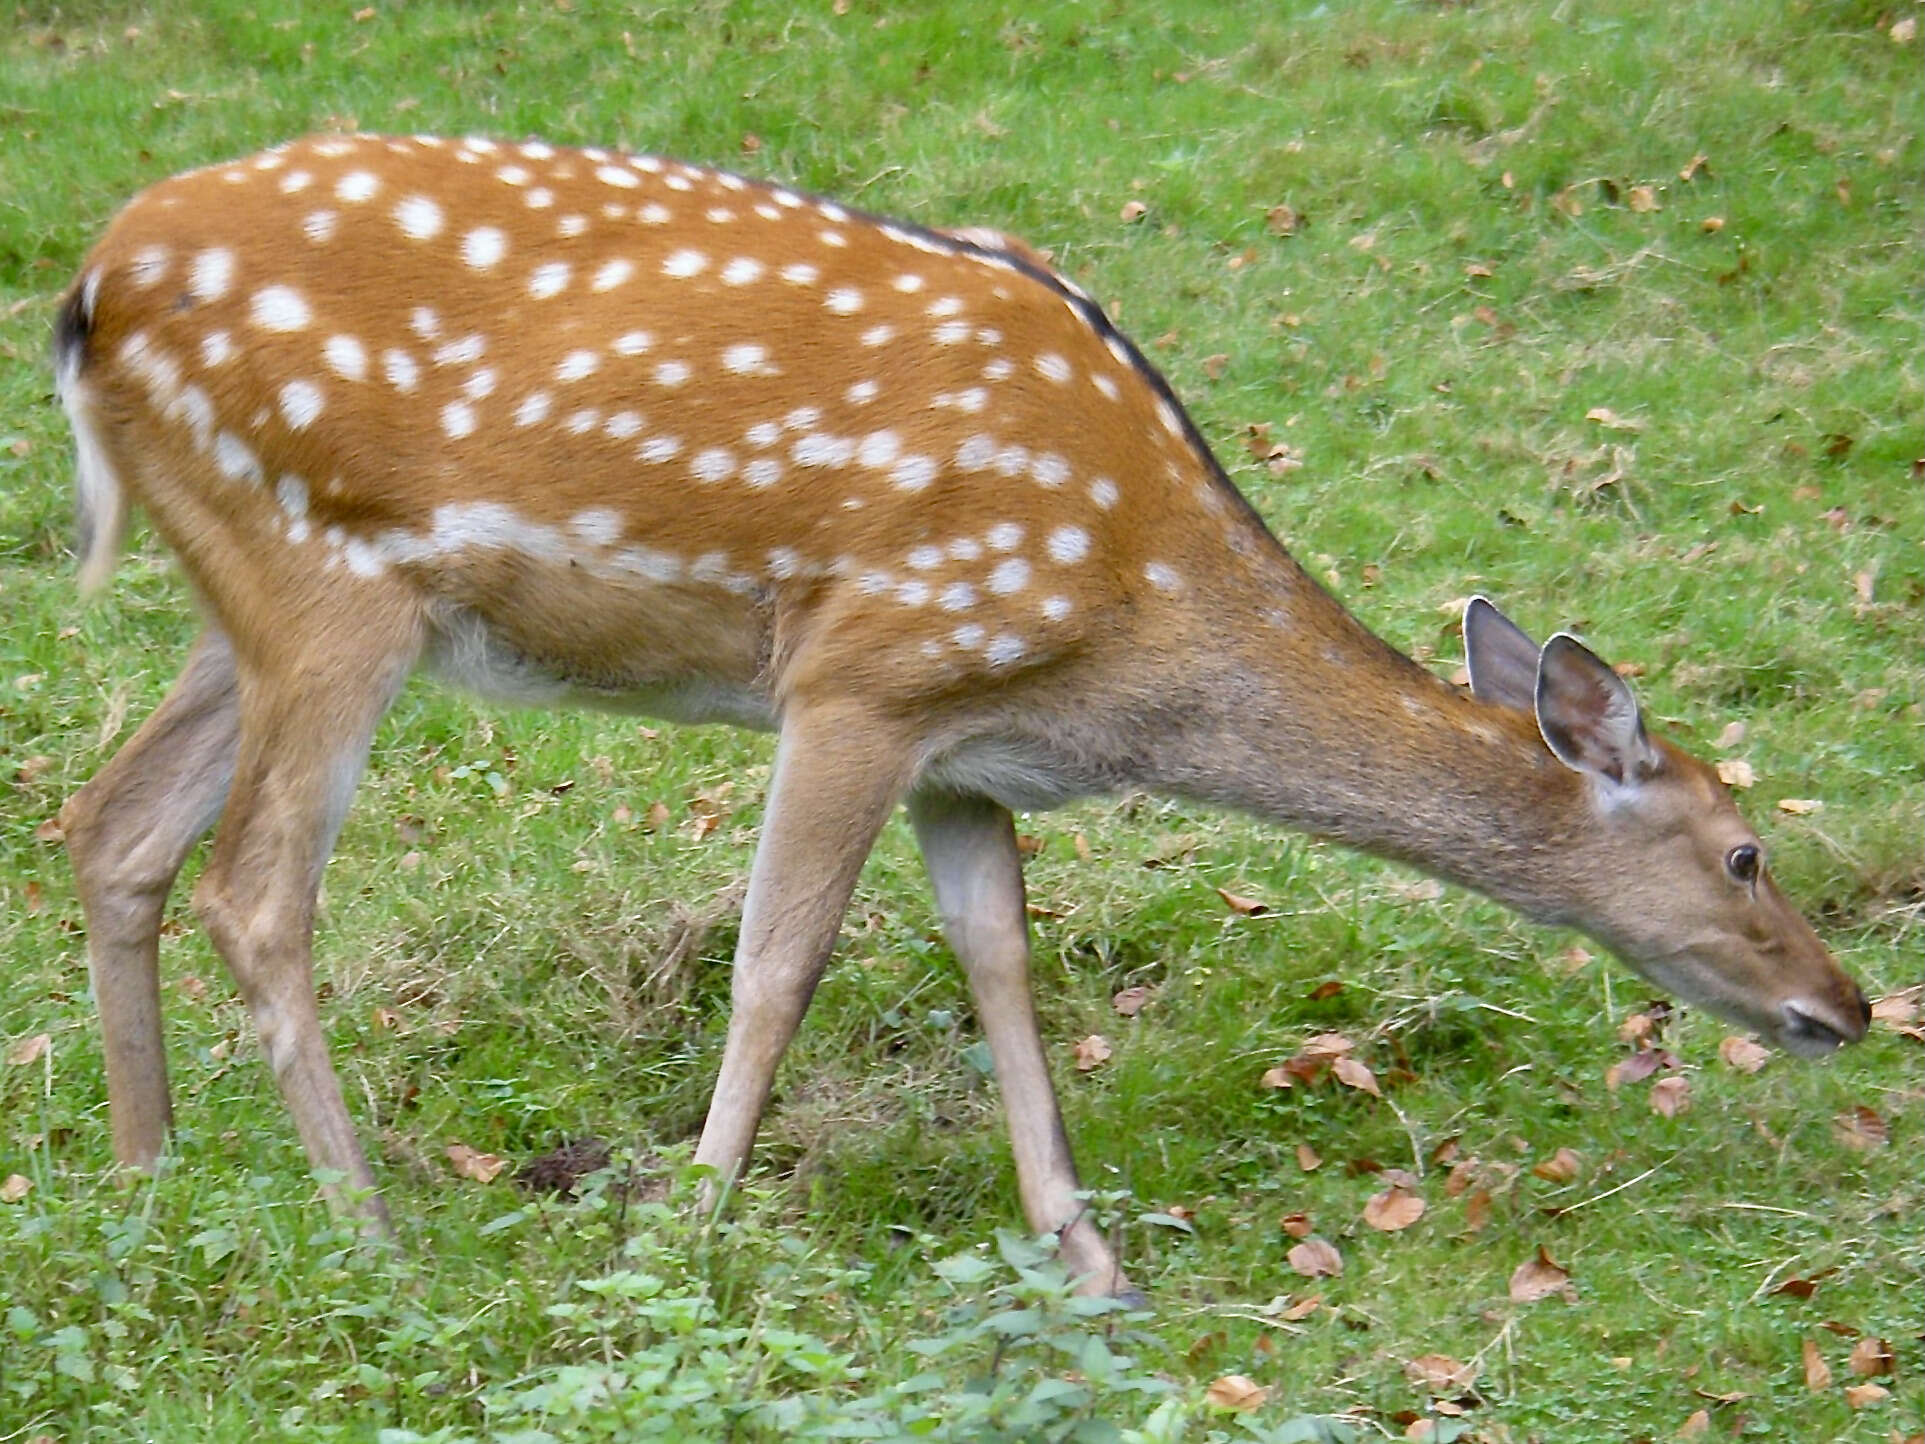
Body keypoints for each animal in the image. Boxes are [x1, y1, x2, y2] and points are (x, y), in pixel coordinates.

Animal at [56, 129, 1863, 1293]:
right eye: (1745, 849)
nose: (1846, 1005)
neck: (1128, 629)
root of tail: (84, 293)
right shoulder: (863, 669)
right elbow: (777, 963)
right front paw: (691, 1230)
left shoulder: (966, 747)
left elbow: (1001, 961)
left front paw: (1091, 1257)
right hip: (328, 580)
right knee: (255, 883)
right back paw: (371, 1235)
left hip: (245, 596)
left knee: (112, 823)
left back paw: (147, 1194)